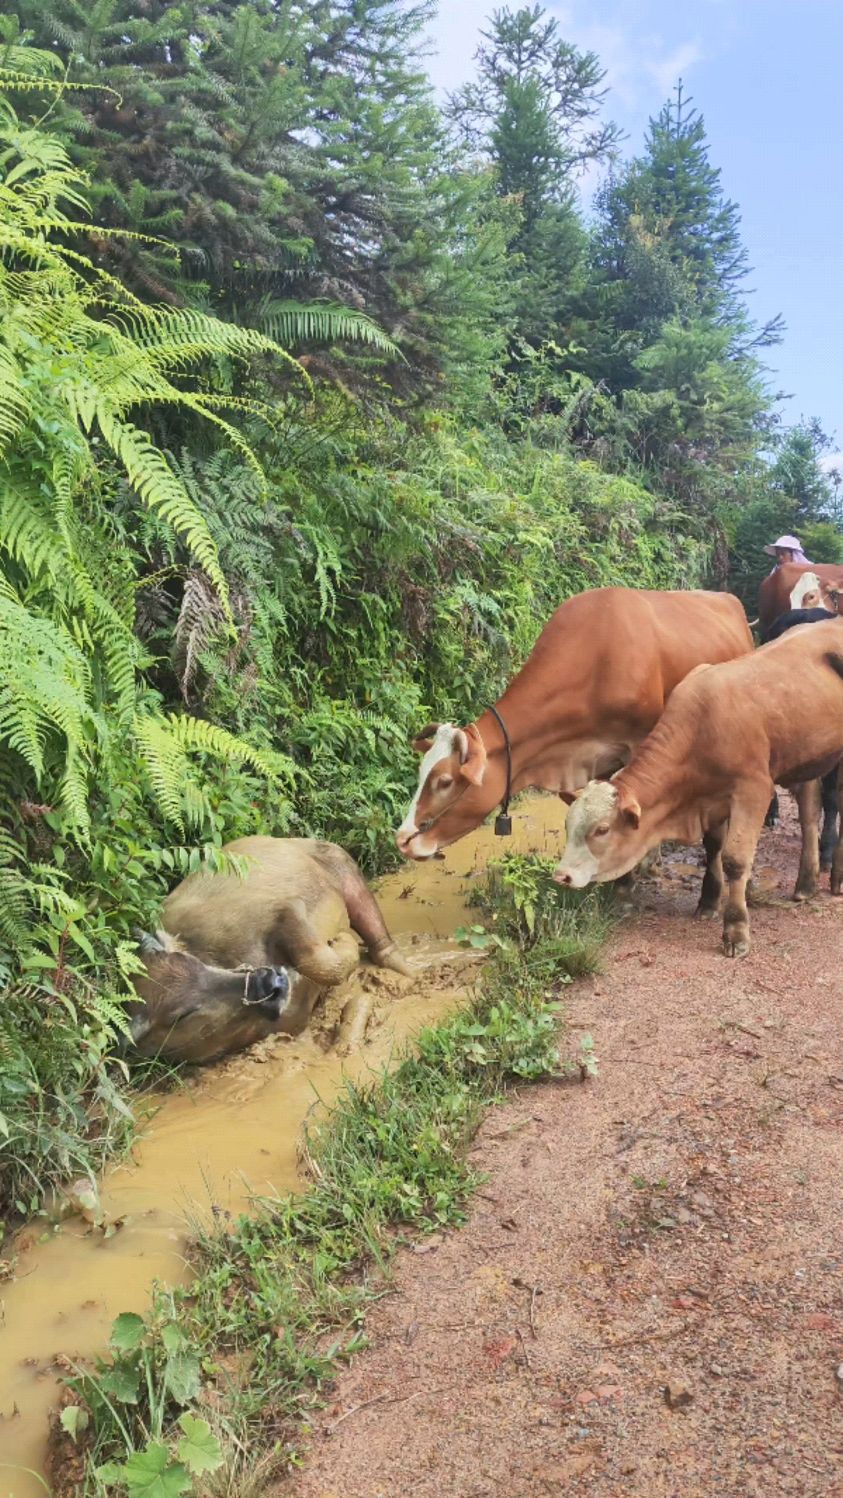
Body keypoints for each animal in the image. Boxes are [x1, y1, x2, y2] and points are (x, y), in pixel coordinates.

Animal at [126, 832, 413, 1066]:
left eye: (192, 962)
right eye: (181, 1015)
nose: (270, 981)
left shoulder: (283, 910)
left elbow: (320, 960)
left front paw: (342, 940)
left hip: (344, 868)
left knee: (377, 935)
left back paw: (407, 970)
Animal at [551, 620, 843, 958]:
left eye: (601, 830)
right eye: (568, 824)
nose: (561, 875)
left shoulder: (753, 789)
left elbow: (735, 859)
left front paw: (736, 929)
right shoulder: (712, 797)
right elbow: (713, 846)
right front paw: (708, 901)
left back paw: (836, 878)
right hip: (806, 756)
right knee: (810, 813)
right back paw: (806, 883)